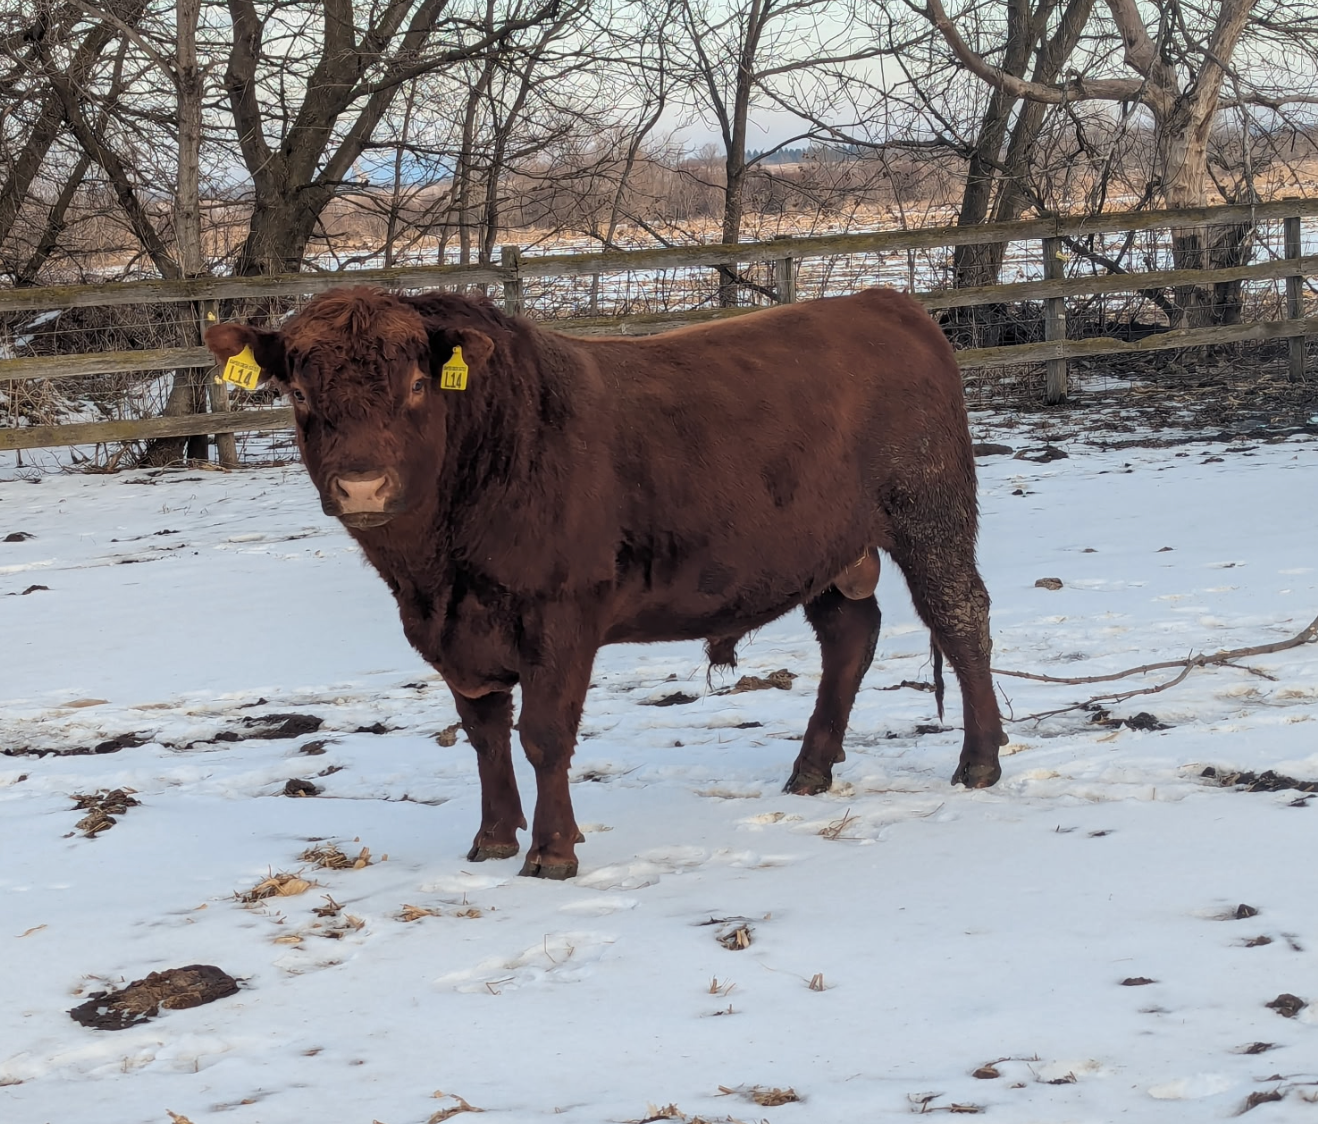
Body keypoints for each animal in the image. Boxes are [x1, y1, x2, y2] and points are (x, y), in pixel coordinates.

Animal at [206, 286, 1006, 879]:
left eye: (415, 385)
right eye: (299, 394)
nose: (363, 485)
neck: (436, 570)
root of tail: (884, 303)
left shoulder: (562, 614)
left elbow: (544, 735)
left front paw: (552, 851)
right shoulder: (455, 636)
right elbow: (484, 735)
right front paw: (492, 838)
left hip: (931, 516)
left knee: (961, 618)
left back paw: (979, 761)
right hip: (827, 552)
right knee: (850, 638)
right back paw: (810, 769)